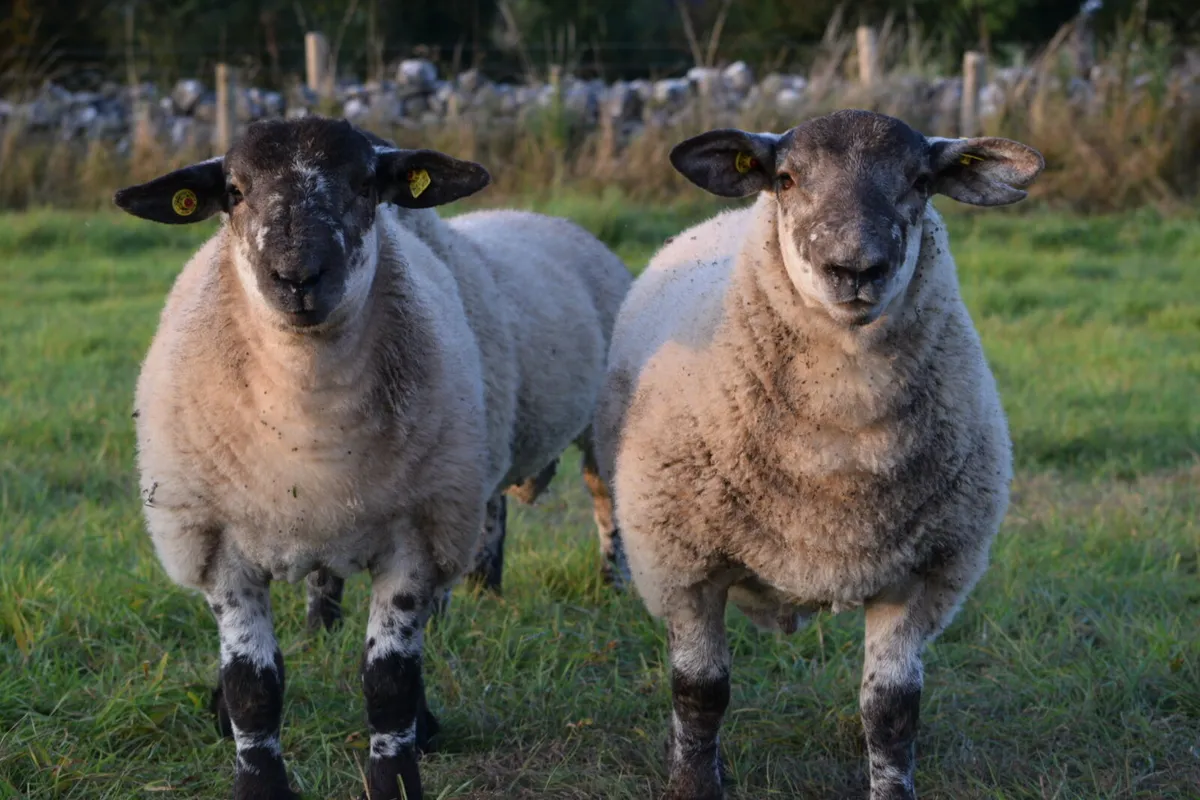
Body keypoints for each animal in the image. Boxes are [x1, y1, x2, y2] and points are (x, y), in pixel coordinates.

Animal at [114, 115, 630, 800]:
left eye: (365, 184)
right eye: (234, 191)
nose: (298, 276)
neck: (307, 415)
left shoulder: (419, 536)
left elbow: (389, 685)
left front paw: (398, 776)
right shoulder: (217, 546)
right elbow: (254, 688)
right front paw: (258, 773)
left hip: (591, 432)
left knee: (604, 506)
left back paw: (610, 585)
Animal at [594, 109, 1044, 800]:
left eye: (921, 180)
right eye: (786, 178)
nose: (854, 267)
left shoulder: (922, 574)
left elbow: (891, 711)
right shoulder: (683, 566)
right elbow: (699, 693)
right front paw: (693, 782)